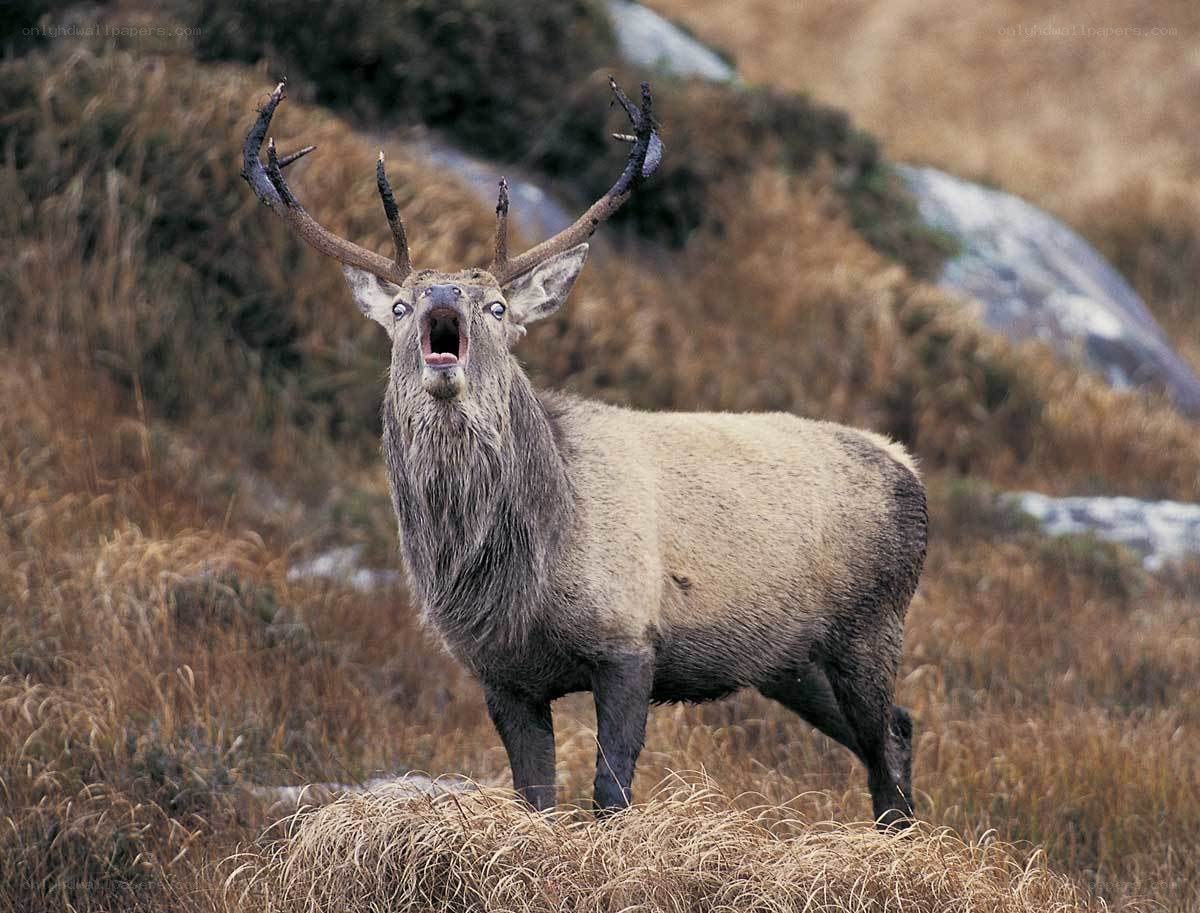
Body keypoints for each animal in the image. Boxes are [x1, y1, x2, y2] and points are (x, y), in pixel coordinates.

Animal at [242, 78, 927, 830]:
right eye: (399, 305)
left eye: (497, 306)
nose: (444, 295)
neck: (519, 572)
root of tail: (911, 468)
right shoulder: (501, 673)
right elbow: (535, 798)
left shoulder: (629, 638)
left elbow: (610, 792)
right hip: (791, 662)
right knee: (897, 726)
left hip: (871, 623)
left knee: (886, 734)